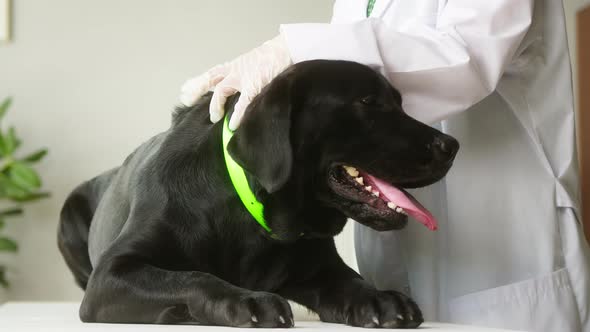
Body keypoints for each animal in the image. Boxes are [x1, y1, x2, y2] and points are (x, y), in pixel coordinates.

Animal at [57, 59, 460, 326]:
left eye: (400, 102)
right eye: (367, 102)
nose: (451, 145)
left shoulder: (320, 268)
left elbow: (353, 282)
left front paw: (380, 299)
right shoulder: (112, 273)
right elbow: (191, 277)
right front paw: (246, 301)